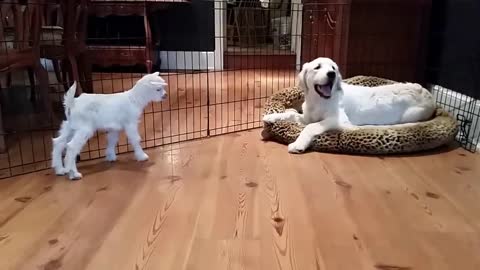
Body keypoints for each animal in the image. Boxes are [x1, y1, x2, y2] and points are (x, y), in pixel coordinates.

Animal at [262, 57, 436, 154]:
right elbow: (291, 113)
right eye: (317, 67)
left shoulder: (339, 120)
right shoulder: (307, 117)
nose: (331, 74)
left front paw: (298, 144)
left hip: (411, 115)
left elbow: (311, 127)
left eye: (333, 68)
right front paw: (271, 116)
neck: (319, 100)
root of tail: (428, 94)